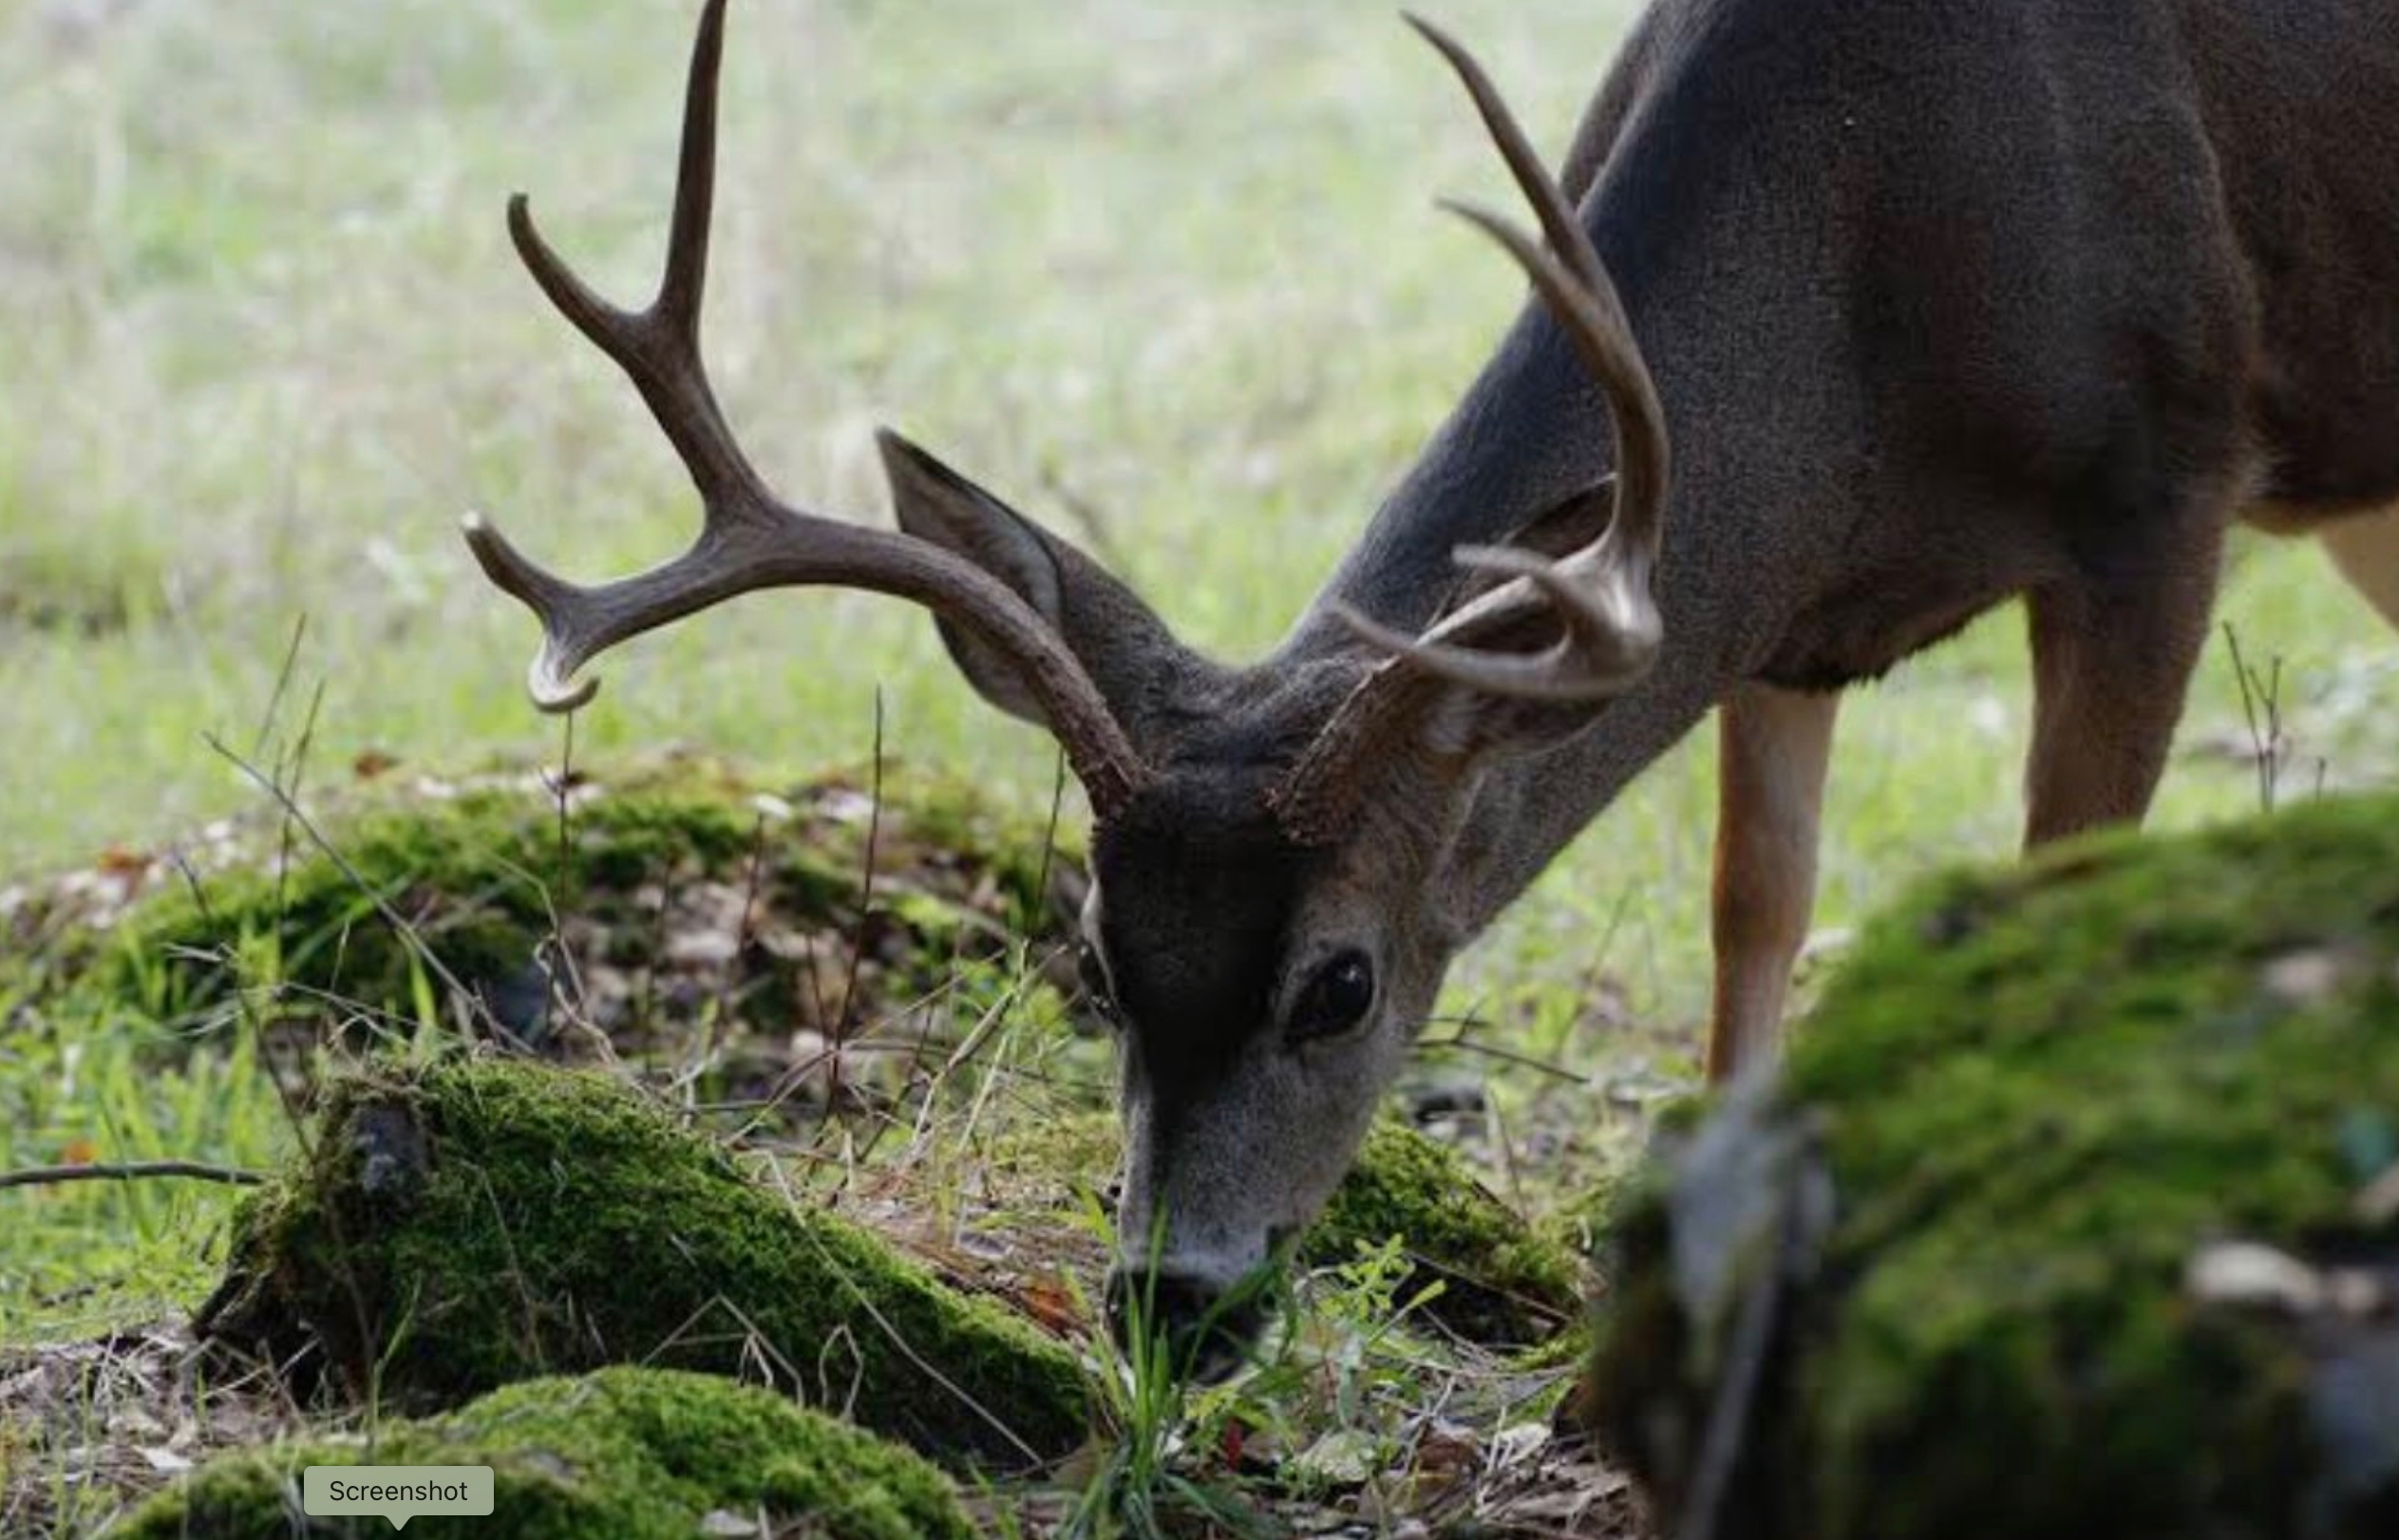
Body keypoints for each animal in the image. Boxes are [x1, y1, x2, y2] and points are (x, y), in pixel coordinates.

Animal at [464, 0, 2399, 1380]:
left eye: (1339, 984)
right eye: (1096, 956)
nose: (1169, 1299)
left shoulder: (2163, 485)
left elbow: (2060, 876)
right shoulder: (1778, 618)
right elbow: (1752, 914)